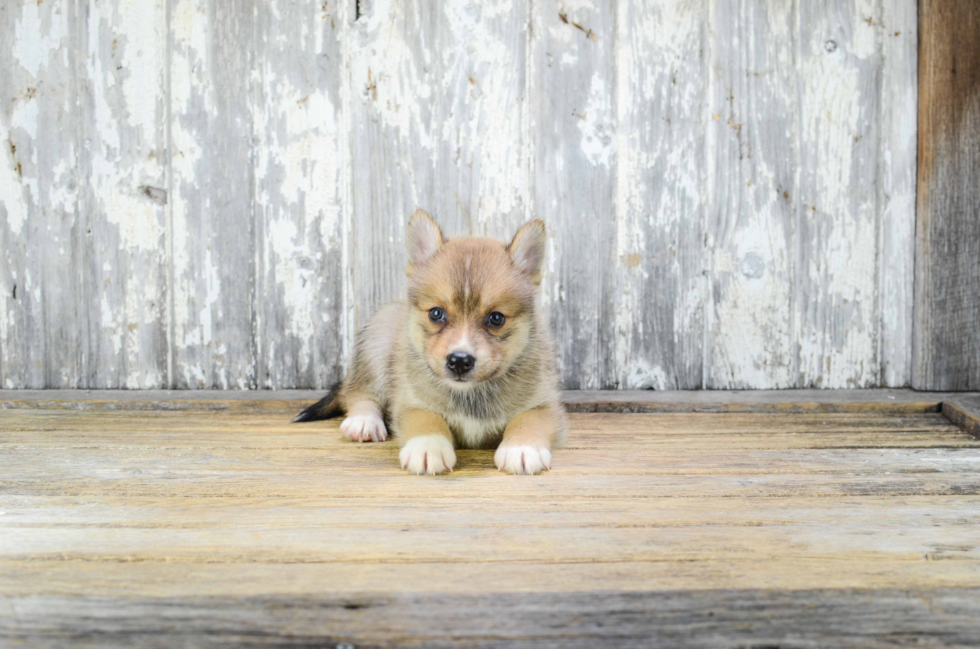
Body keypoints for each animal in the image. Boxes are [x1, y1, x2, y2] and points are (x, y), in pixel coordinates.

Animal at [292, 210, 568, 474]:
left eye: (496, 318)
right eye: (436, 313)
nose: (459, 361)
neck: (470, 395)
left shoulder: (545, 404)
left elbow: (527, 420)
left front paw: (521, 449)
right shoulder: (410, 401)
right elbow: (426, 419)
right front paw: (427, 448)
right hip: (377, 341)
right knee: (359, 392)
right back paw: (363, 422)